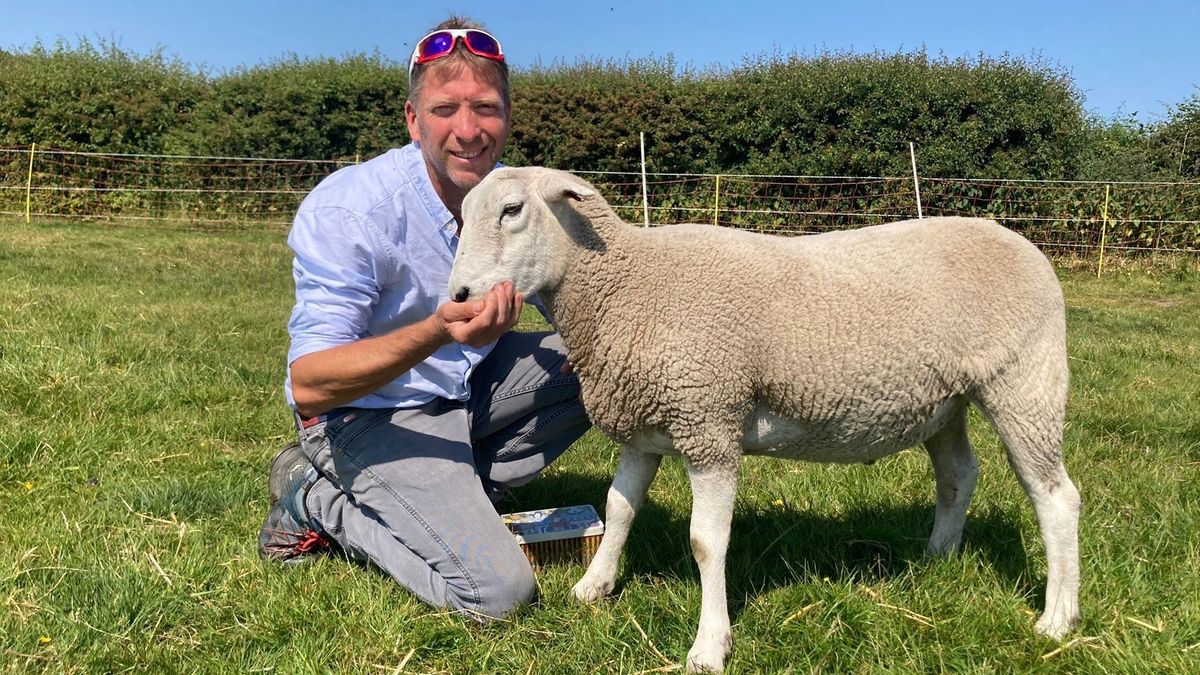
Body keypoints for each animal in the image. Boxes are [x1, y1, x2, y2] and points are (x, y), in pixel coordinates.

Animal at [446, 165, 1084, 667]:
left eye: (512, 210)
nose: (458, 299)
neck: (627, 284)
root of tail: (1024, 245)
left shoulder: (710, 423)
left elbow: (706, 542)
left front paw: (709, 645)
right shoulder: (646, 429)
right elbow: (618, 509)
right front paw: (593, 586)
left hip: (1025, 379)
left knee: (1055, 496)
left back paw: (1058, 618)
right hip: (946, 400)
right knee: (957, 476)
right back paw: (937, 558)